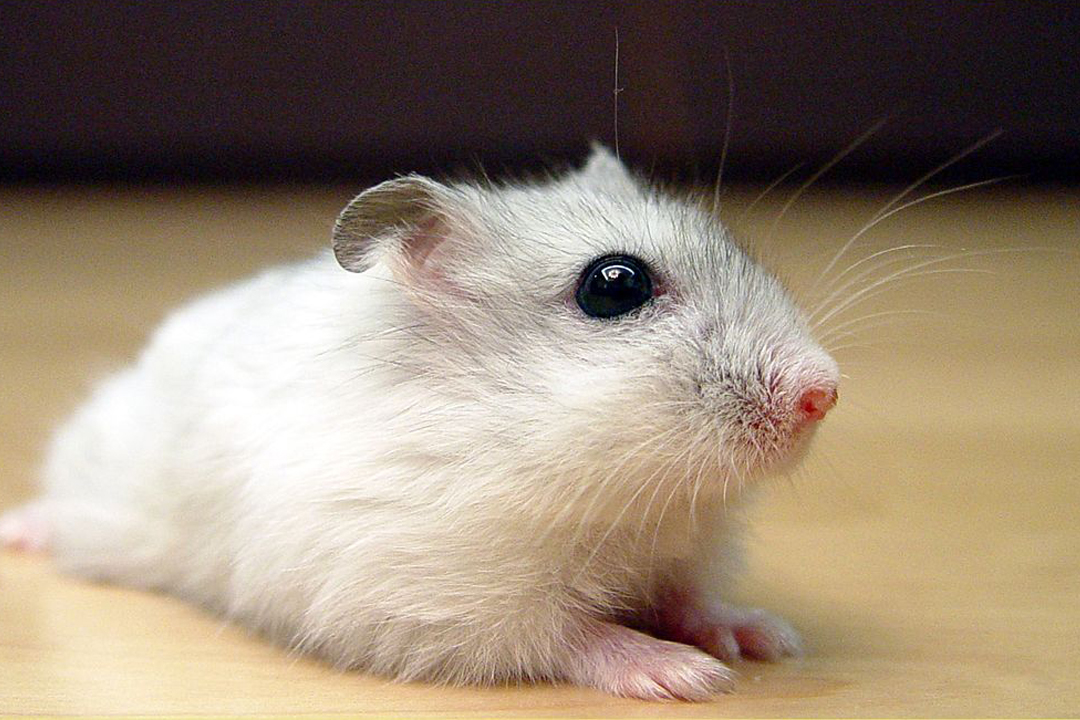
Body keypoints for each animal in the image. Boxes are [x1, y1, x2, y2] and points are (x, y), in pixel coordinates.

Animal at [1, 145, 839, 701]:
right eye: (614, 285)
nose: (825, 392)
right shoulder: (439, 598)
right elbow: (573, 634)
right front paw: (688, 676)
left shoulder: (685, 549)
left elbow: (690, 599)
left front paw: (765, 637)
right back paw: (21, 530)